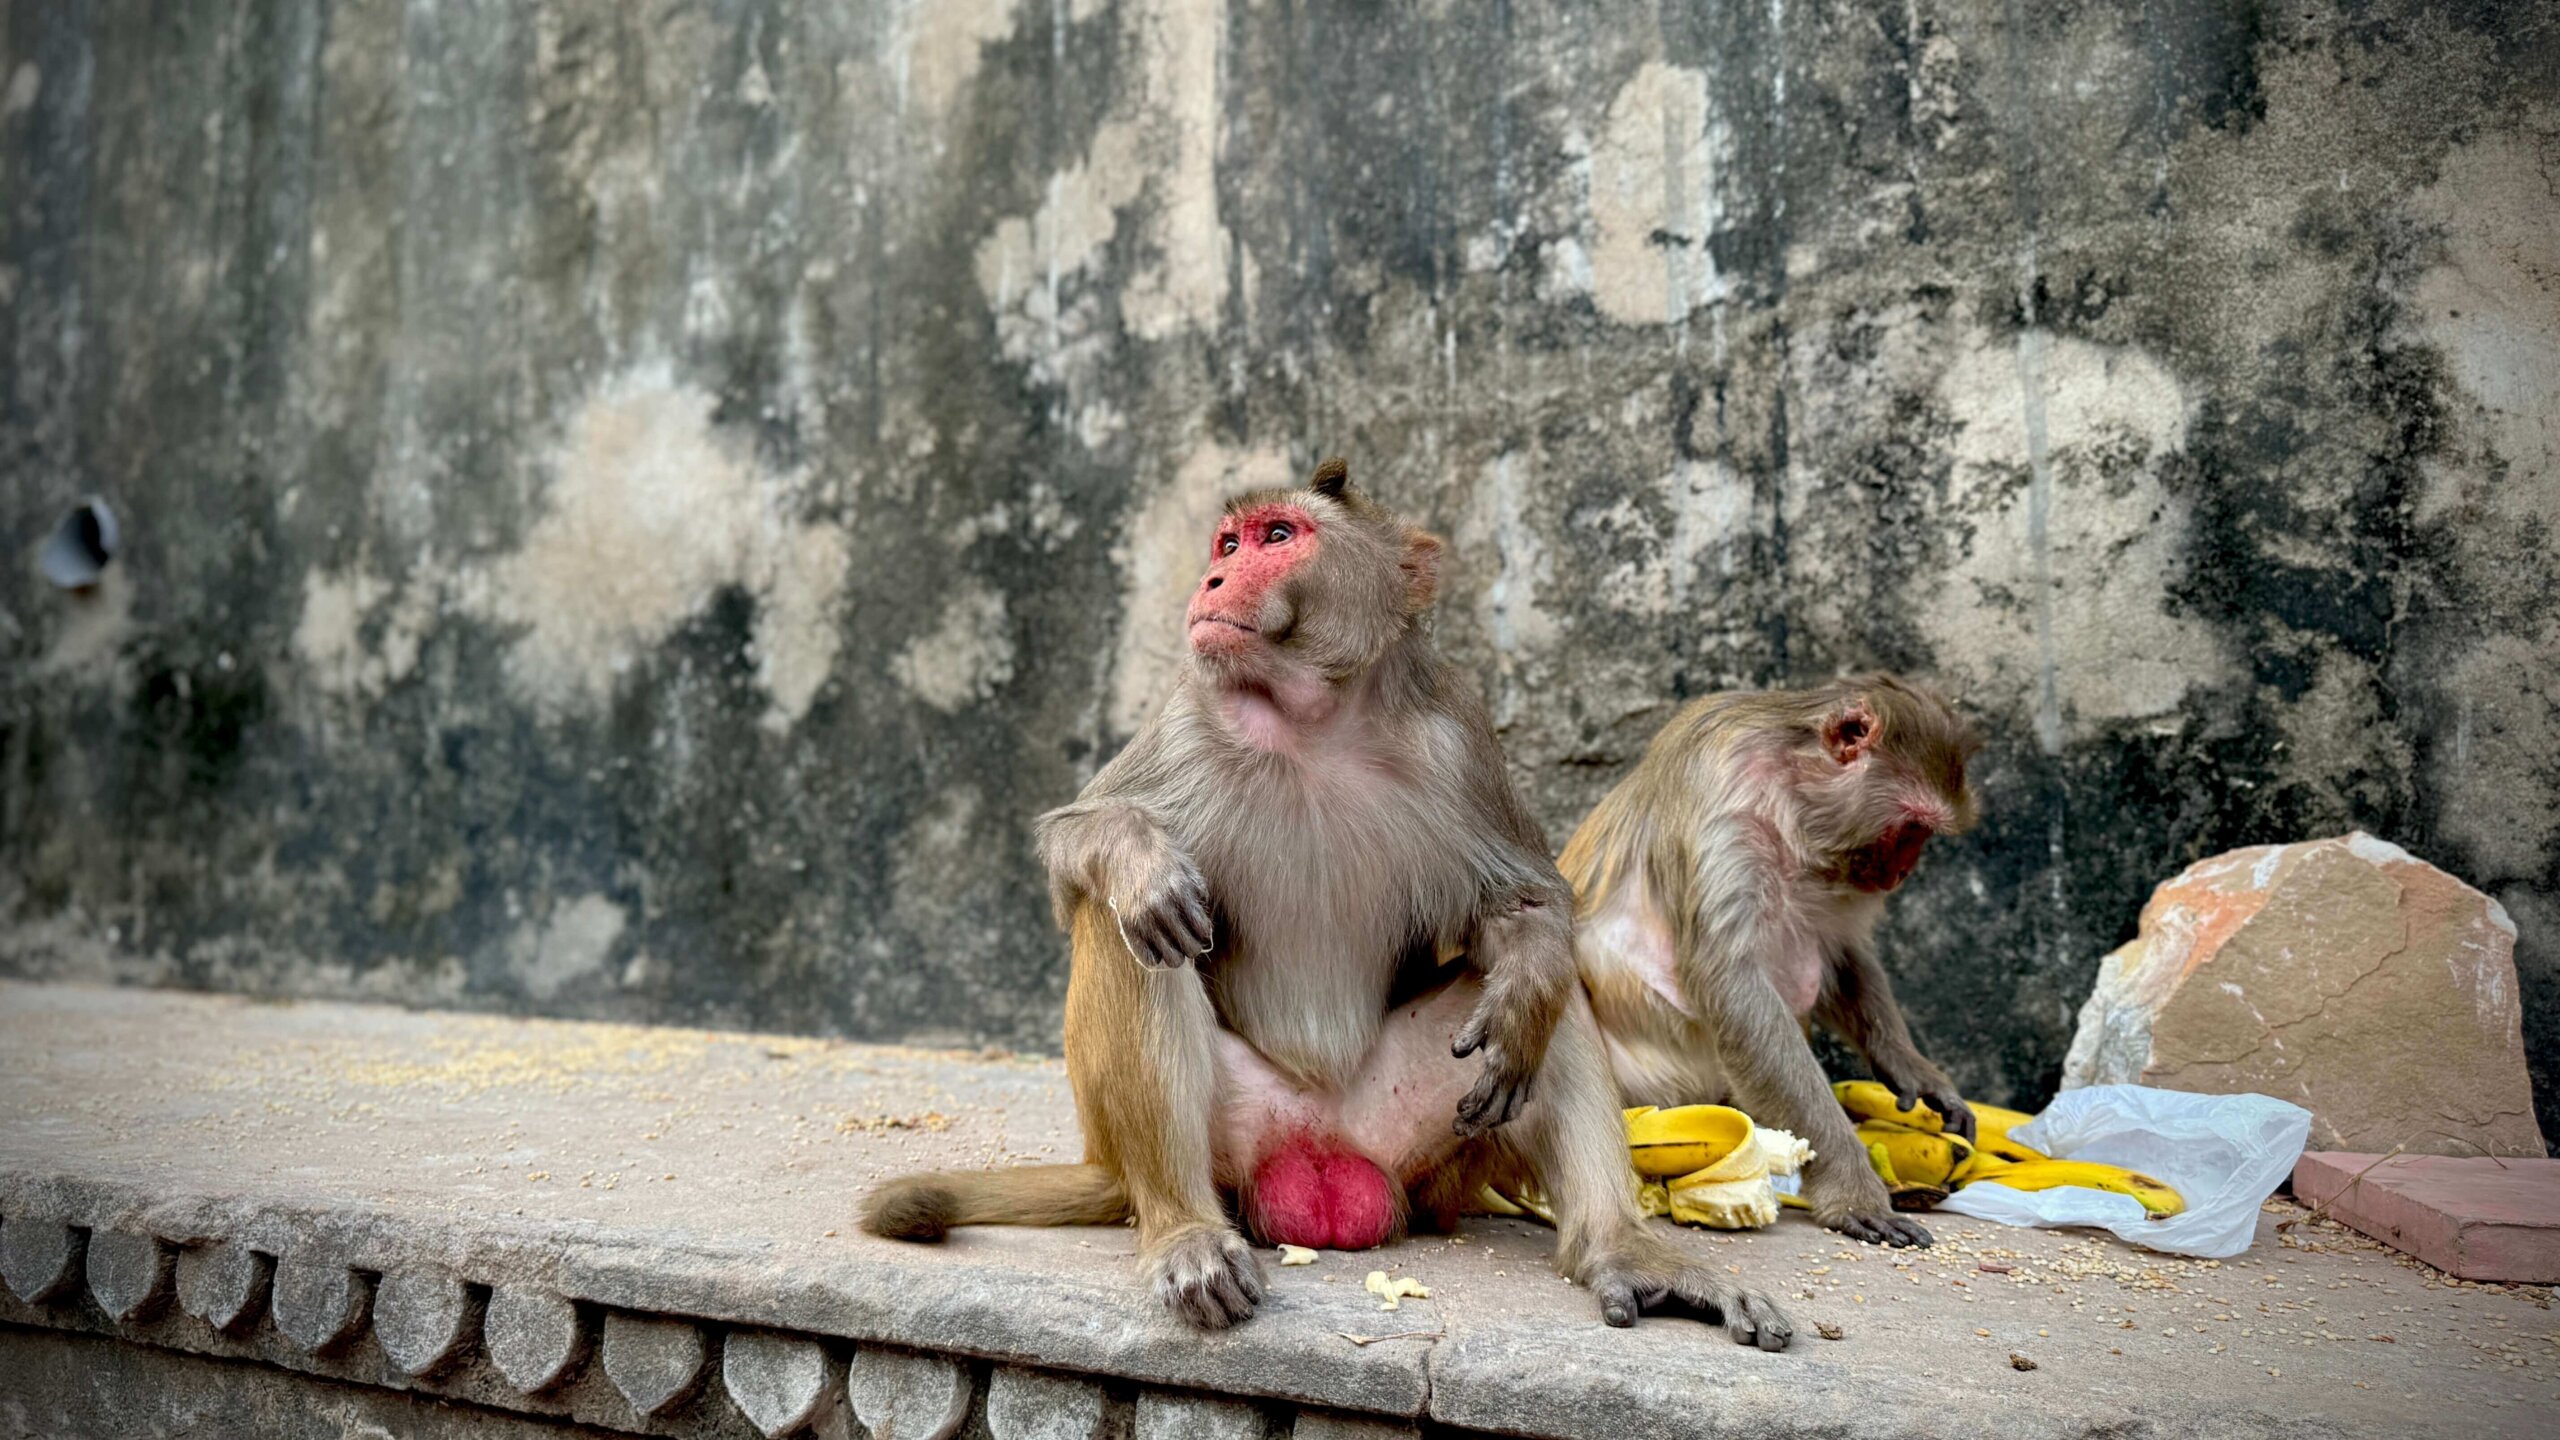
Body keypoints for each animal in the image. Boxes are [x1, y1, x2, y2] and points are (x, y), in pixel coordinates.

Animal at [855, 456, 1781, 1342]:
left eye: (1277, 535)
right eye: (1229, 543)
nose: (1212, 581)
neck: (1310, 719)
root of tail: (1319, 1143)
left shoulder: (1458, 734)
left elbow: (1525, 909)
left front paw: (1522, 986)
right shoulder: (1186, 717)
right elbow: (1074, 847)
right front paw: (1141, 862)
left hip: (1427, 1150)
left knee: (1557, 1004)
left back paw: (1620, 1247)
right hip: (1225, 1140)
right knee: (1128, 931)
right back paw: (1184, 1231)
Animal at [1556, 671, 1976, 1245]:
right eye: (1912, 828)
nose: (1903, 872)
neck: (1790, 792)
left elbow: (1841, 952)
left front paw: (1912, 1068)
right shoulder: (1727, 806)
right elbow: (1734, 986)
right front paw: (1853, 1191)